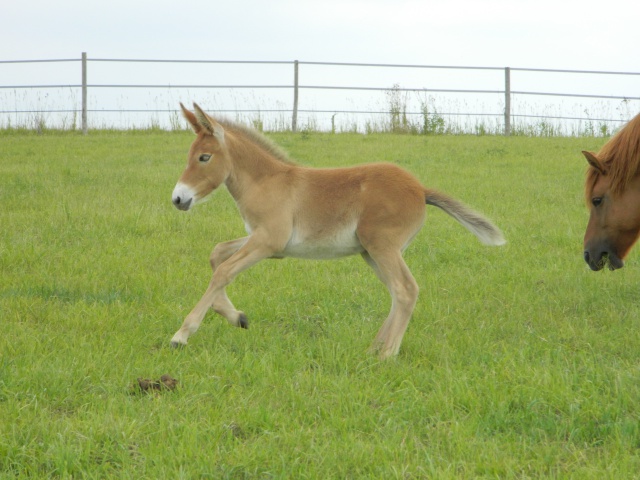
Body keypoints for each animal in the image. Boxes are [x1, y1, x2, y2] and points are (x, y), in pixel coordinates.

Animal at [169, 105, 504, 360]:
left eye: (204, 157)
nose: (178, 199)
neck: (267, 182)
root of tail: (421, 190)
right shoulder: (267, 243)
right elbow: (216, 254)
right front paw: (237, 317)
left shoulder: (268, 242)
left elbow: (223, 272)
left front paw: (182, 335)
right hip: (371, 253)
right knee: (396, 292)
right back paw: (375, 348)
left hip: (382, 248)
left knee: (406, 289)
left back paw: (386, 355)